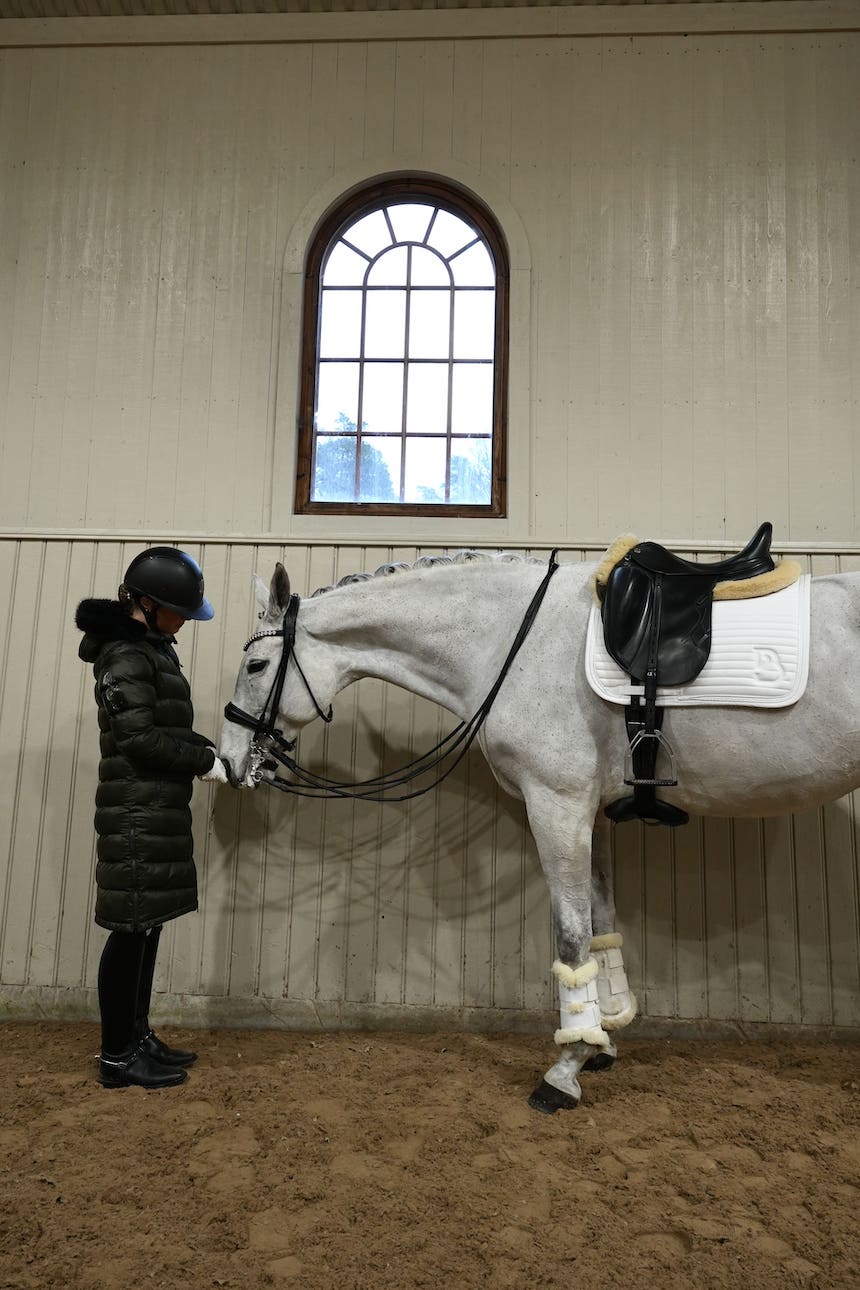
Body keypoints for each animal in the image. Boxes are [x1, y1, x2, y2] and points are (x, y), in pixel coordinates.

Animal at [216, 552, 860, 1109]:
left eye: (256, 665)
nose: (228, 760)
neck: (511, 641)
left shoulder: (557, 804)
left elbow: (571, 937)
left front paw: (565, 1068)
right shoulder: (589, 813)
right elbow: (600, 925)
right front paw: (601, 1039)